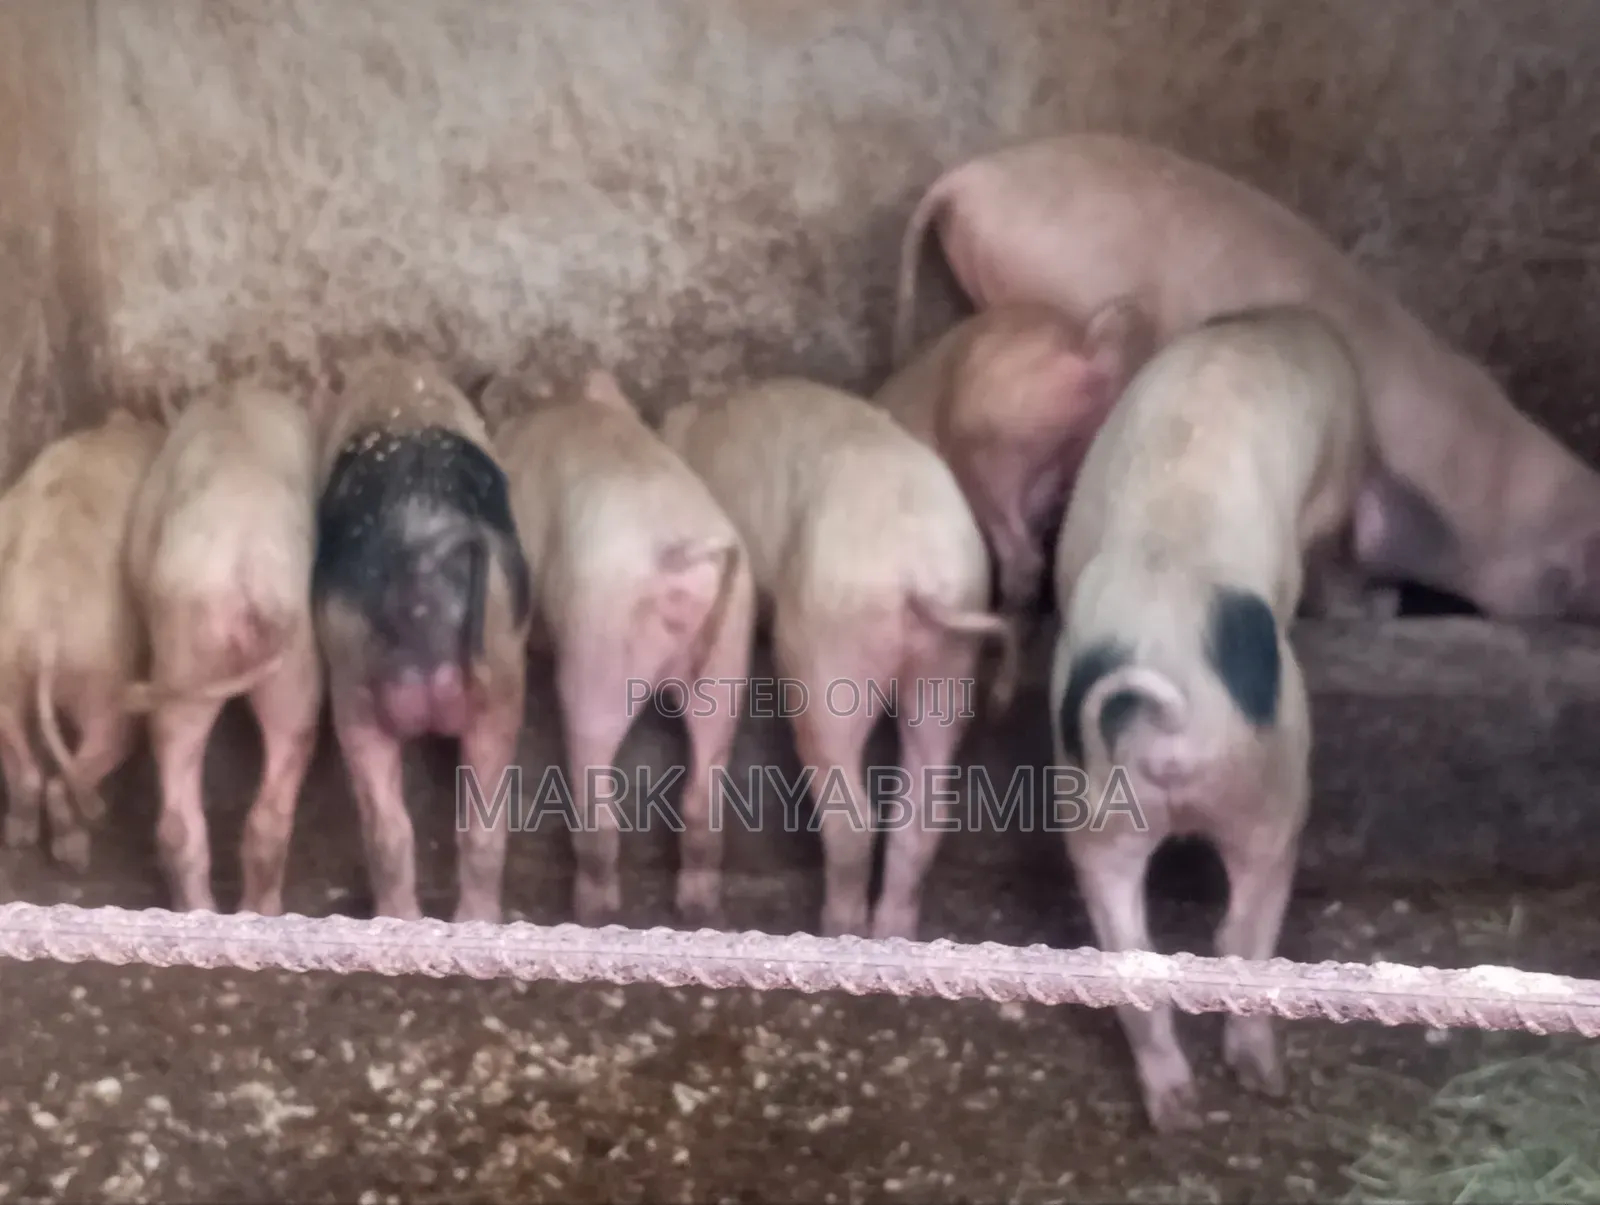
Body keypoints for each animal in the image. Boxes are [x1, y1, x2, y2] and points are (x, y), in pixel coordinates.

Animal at [0, 410, 166, 870]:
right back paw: (80, 845)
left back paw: (20, 836)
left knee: (27, 768)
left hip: (7, 673)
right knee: (88, 756)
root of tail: (44, 634)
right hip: (103, 686)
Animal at [493, 369, 756, 928]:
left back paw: (591, 909)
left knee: (597, 794)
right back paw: (697, 908)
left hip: (600, 645)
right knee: (704, 790)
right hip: (729, 655)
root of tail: (682, 556)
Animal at [660, 377, 1019, 940]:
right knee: (924, 807)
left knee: (850, 809)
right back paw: (891, 931)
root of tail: (915, 569)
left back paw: (838, 926)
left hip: (829, 647)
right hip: (948, 658)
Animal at [1048, 304, 1373, 1133]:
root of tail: (1173, 714)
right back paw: (1263, 1074)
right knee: (1242, 930)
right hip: (1273, 784)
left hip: (1095, 807)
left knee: (1130, 953)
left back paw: (1178, 1109)